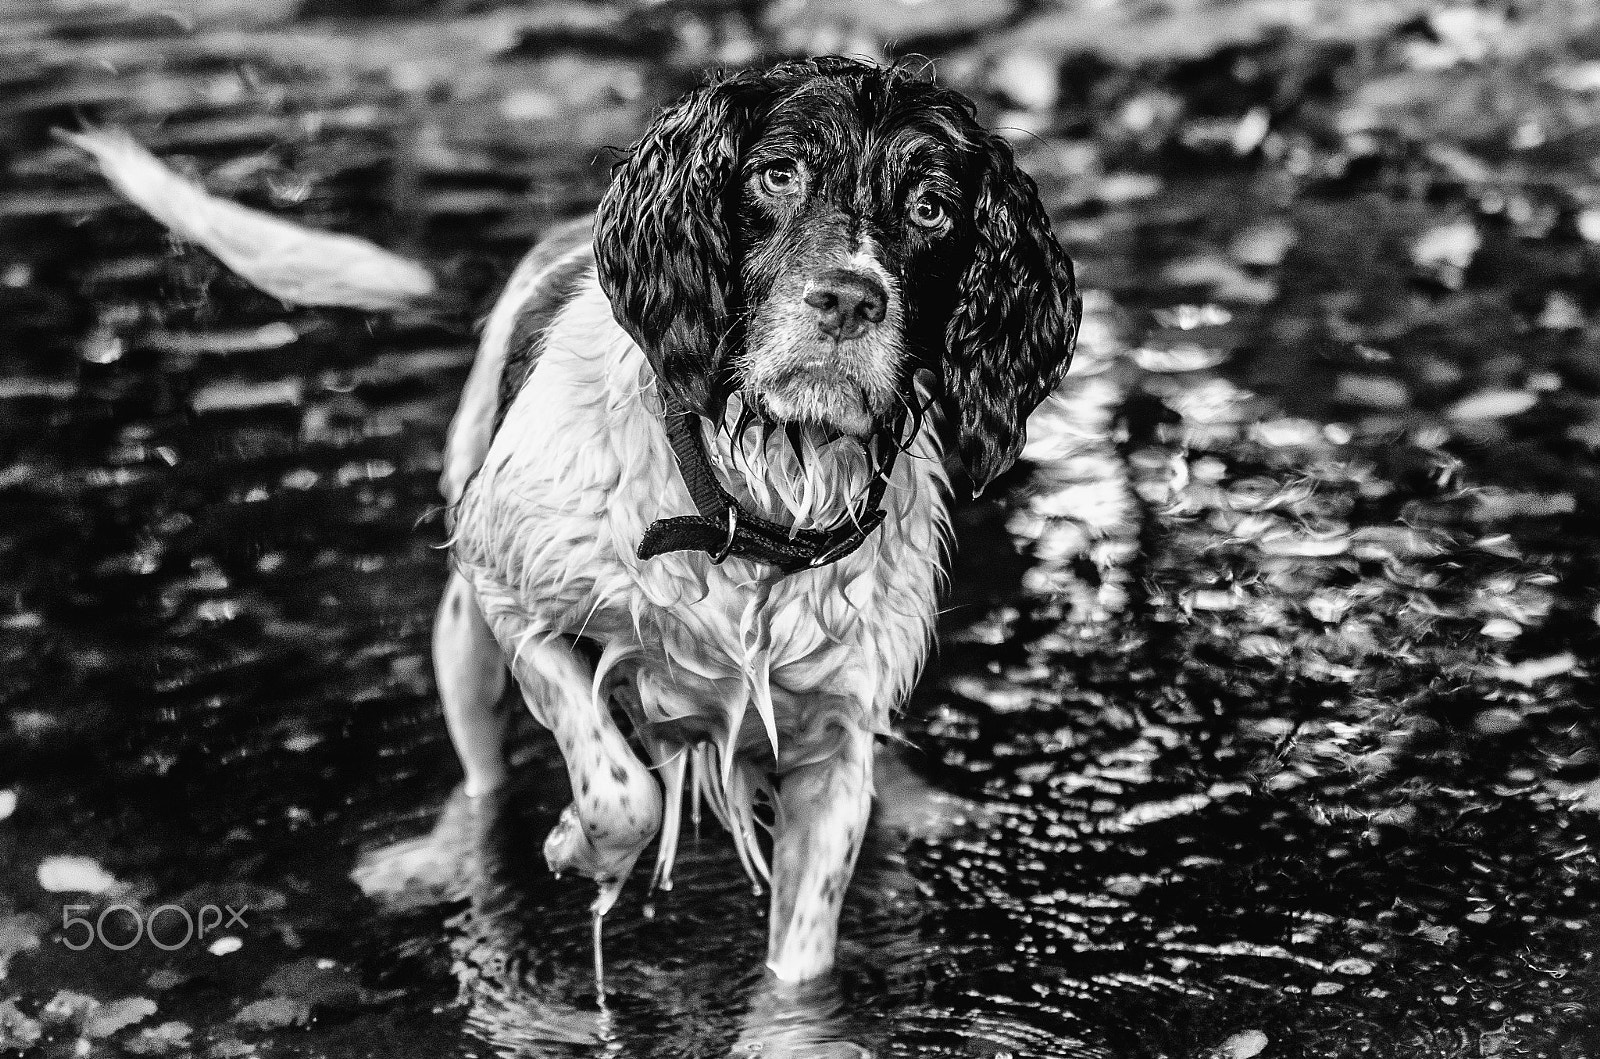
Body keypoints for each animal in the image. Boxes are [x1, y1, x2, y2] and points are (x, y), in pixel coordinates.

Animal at [432, 57, 1081, 985]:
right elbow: (625, 793)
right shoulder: (510, 586)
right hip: (464, 635)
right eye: (777, 174)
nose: (847, 300)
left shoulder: (833, 751)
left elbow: (799, 964)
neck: (750, 506)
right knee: (483, 779)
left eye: (932, 208)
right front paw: (577, 845)